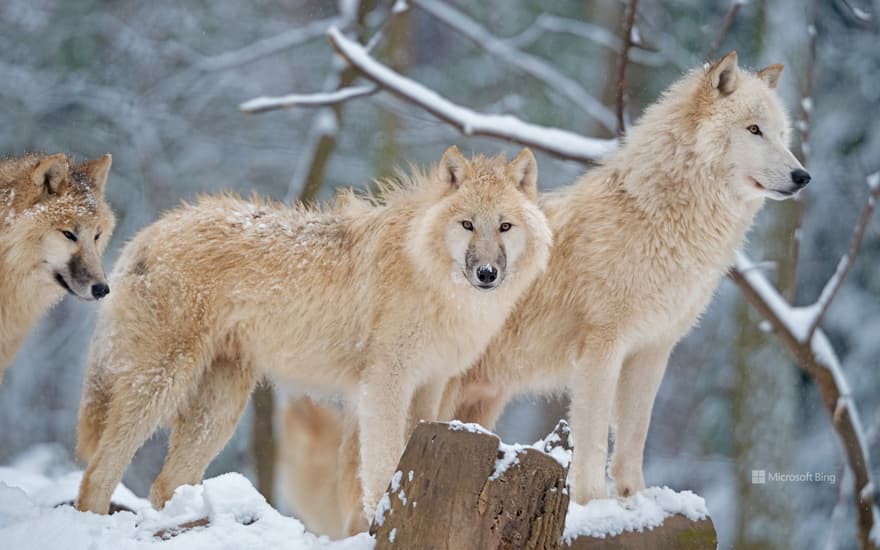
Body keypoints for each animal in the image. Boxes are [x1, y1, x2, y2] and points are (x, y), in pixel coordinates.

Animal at [79, 146, 552, 516]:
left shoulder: (430, 385)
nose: (487, 273)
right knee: (97, 474)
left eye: (505, 226)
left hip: (220, 408)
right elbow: (381, 467)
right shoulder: (385, 384)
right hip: (160, 385)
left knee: (164, 483)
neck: (431, 277)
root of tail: (146, 234)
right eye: (468, 224)